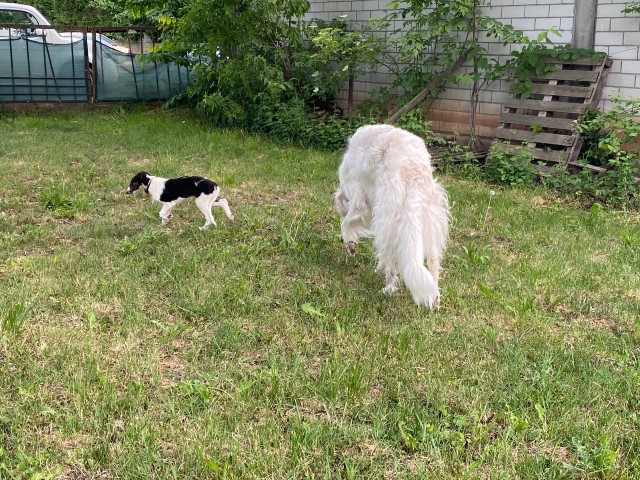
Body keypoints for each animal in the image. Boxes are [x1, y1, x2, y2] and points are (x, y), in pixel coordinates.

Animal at [334, 124, 449, 308]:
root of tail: (413, 169)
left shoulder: (360, 203)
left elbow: (345, 224)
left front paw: (350, 245)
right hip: (429, 221)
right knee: (433, 264)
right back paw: (435, 300)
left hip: (387, 218)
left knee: (390, 264)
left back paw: (388, 289)